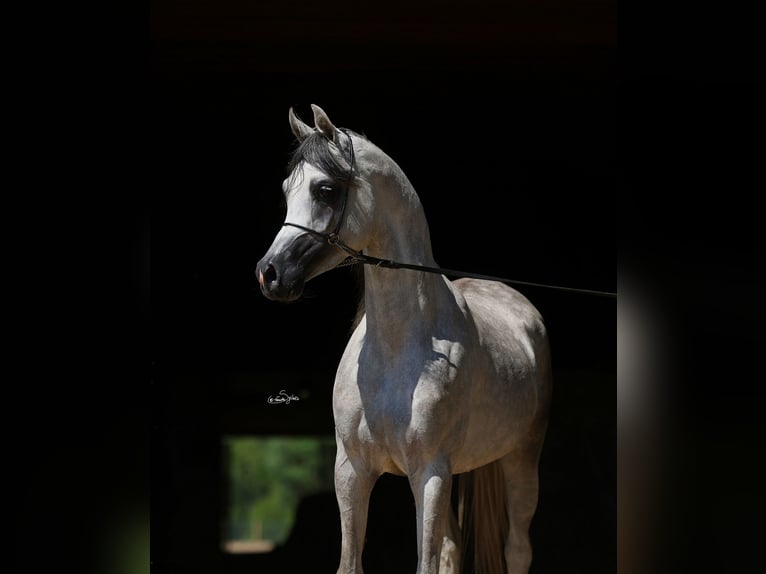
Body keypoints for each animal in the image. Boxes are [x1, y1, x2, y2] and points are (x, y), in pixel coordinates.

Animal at [256, 105, 552, 574]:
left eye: (325, 189)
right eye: (288, 190)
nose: (269, 274)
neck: (396, 351)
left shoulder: (429, 473)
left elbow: (425, 562)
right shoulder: (352, 471)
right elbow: (352, 562)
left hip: (521, 459)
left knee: (518, 549)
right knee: (452, 549)